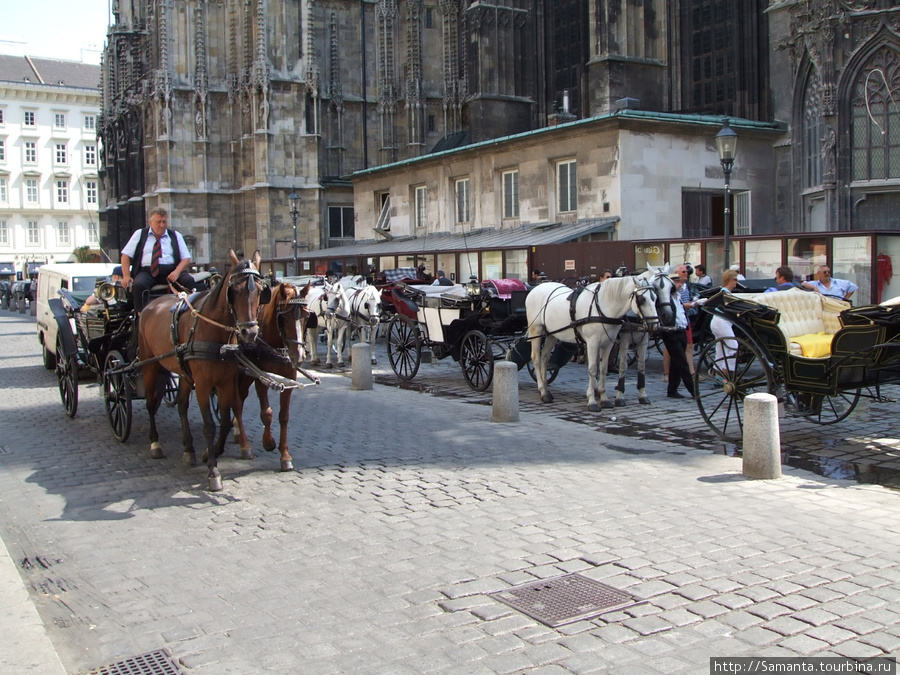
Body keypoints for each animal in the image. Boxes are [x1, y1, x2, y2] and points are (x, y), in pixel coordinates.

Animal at [137, 250, 268, 492]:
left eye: (260, 290)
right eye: (235, 290)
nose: (250, 332)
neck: (215, 332)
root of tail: (152, 303)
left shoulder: (225, 382)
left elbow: (225, 421)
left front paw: (210, 453)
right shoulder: (204, 385)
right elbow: (209, 426)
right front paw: (213, 471)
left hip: (183, 372)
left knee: (181, 405)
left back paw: (189, 450)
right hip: (149, 365)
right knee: (151, 404)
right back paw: (155, 443)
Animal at [236, 280, 312, 470]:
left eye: (307, 317)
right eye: (283, 318)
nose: (299, 356)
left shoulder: (290, 379)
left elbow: (284, 416)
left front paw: (285, 455)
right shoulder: (260, 377)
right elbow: (267, 413)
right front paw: (268, 442)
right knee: (237, 401)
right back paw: (244, 444)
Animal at [528, 270, 676, 412]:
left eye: (655, 297)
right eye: (641, 299)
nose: (655, 325)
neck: (603, 307)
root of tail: (536, 288)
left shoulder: (609, 343)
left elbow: (604, 369)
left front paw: (604, 398)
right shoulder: (594, 342)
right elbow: (593, 369)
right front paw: (592, 400)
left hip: (552, 334)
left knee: (545, 358)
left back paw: (546, 389)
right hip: (536, 330)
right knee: (536, 358)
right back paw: (543, 392)